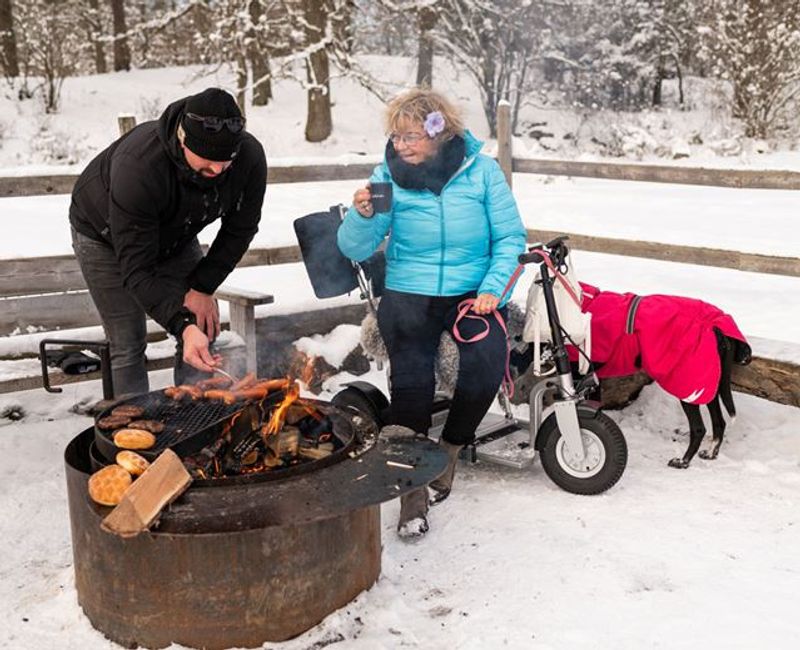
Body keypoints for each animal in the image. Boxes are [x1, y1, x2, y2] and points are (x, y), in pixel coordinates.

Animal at [574, 283, 752, 468]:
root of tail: (715, 327)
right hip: (710, 385)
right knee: (719, 422)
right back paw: (710, 453)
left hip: (688, 387)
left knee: (699, 428)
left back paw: (683, 461)